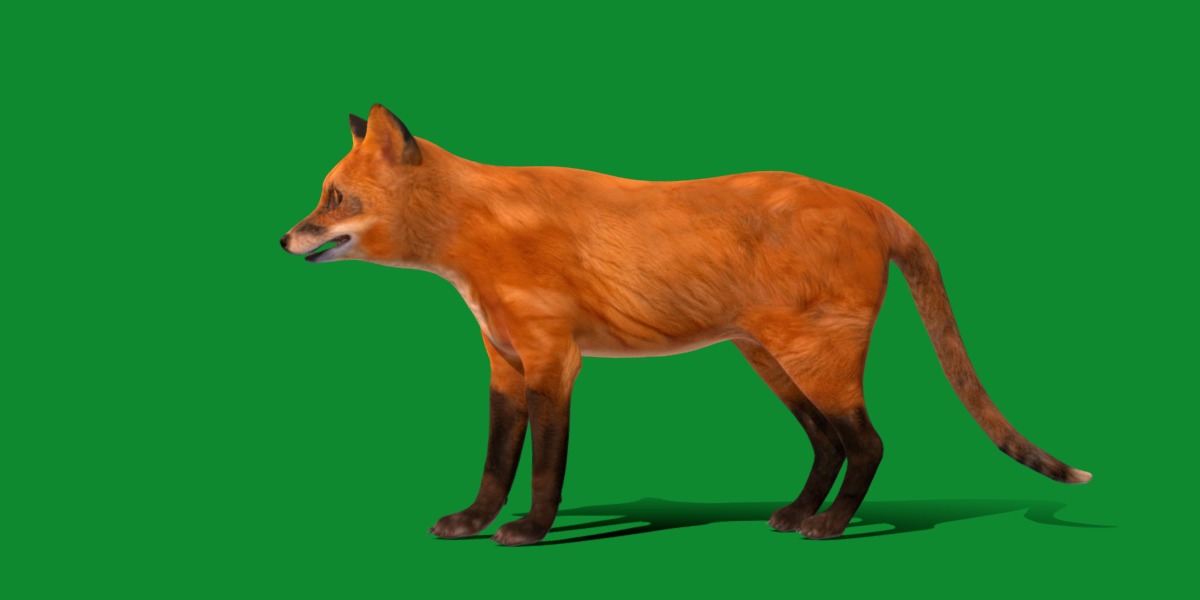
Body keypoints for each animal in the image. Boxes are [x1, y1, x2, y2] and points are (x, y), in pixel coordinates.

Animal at [280, 104, 1091, 546]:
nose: (283, 239)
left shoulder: (552, 362)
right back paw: (798, 512)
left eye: (335, 198)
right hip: (772, 363)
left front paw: (531, 531)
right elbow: (494, 462)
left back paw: (830, 525)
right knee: (829, 444)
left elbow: (543, 469)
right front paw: (474, 521)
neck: (476, 237)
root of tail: (868, 199)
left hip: (815, 363)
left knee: (869, 443)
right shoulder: (504, 362)